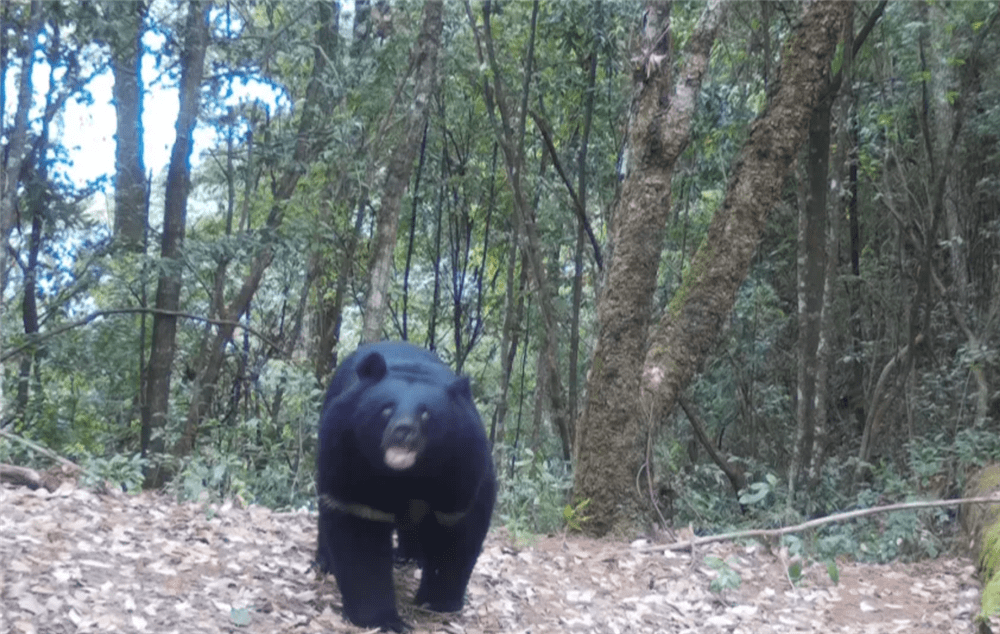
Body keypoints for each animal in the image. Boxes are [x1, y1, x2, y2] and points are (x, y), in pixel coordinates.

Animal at [316, 340, 496, 628]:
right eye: (387, 408)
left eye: (426, 414)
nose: (403, 431)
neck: (408, 476)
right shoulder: (348, 457)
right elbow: (359, 532)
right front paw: (384, 620)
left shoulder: (463, 469)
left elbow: (455, 534)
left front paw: (437, 604)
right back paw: (325, 563)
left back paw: (410, 556)